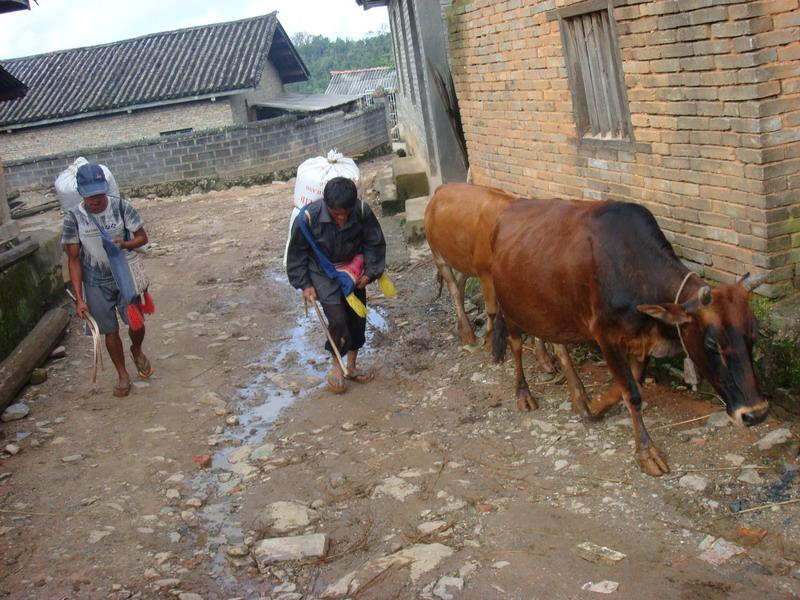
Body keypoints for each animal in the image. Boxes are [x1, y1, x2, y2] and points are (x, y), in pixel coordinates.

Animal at [494, 199, 768, 476]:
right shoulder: (606, 337)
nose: (756, 414)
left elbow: (630, 383)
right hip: (511, 309)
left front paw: (595, 406)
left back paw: (579, 396)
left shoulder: (642, 342)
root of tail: (510, 208)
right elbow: (633, 394)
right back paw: (524, 395)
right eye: (712, 343)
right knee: (516, 346)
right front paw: (648, 453)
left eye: (753, 335)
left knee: (560, 346)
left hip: (554, 310)